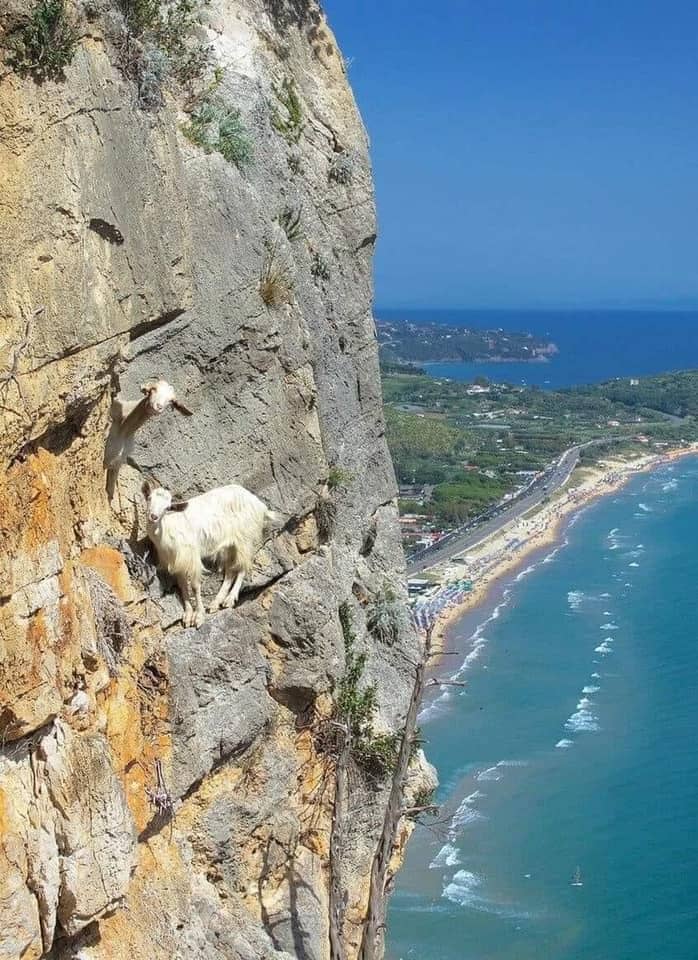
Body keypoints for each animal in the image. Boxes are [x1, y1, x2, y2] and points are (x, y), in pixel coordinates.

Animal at [142, 480, 278, 632]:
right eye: (149, 498)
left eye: (167, 507)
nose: (153, 517)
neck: (168, 528)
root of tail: (260, 505)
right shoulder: (177, 561)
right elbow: (183, 585)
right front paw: (188, 616)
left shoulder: (192, 556)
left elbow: (195, 586)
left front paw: (199, 617)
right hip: (229, 545)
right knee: (230, 571)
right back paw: (215, 603)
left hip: (245, 538)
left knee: (243, 567)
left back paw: (230, 599)